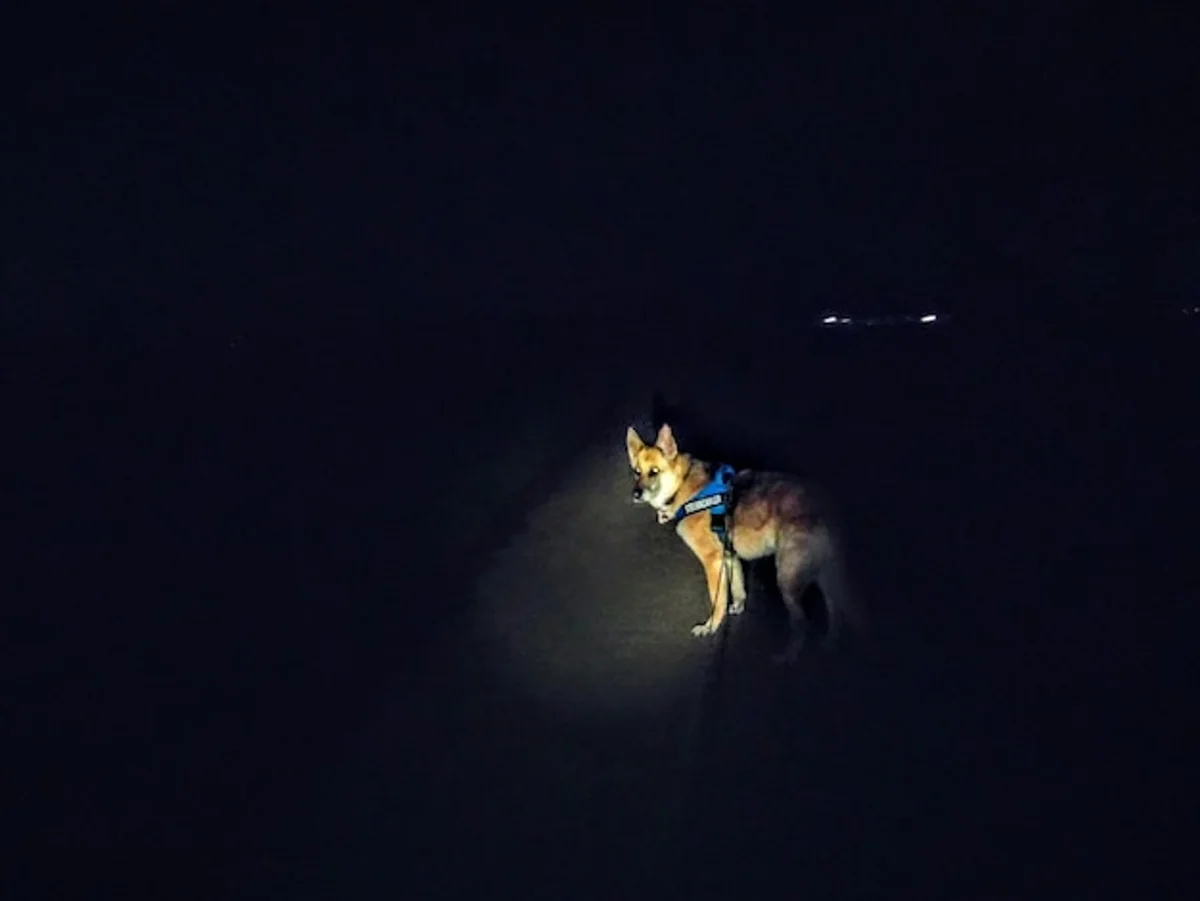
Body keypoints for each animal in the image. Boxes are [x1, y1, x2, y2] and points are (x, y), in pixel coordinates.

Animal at [626, 422, 859, 663]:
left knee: (802, 623)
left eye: (654, 471)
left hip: (787, 579)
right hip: (826, 577)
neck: (683, 485)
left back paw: (789, 656)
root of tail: (827, 504)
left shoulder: (713, 562)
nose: (636, 493)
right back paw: (829, 646)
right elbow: (737, 588)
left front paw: (710, 627)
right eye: (637, 472)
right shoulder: (729, 557)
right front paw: (737, 607)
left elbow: (717, 601)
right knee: (838, 612)